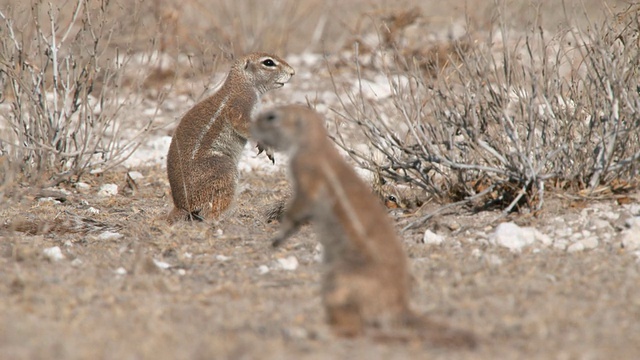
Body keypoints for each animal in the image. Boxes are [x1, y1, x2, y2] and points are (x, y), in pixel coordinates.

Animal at [165, 52, 296, 224]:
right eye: (268, 62)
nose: (293, 72)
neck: (241, 83)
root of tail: (181, 206)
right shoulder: (240, 106)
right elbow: (243, 126)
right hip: (225, 169)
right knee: (209, 212)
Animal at [250, 105, 476, 348]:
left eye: (272, 117)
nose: (252, 125)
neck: (315, 144)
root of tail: (399, 303)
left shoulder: (305, 174)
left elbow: (297, 207)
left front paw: (279, 236)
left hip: (341, 278)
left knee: (355, 325)